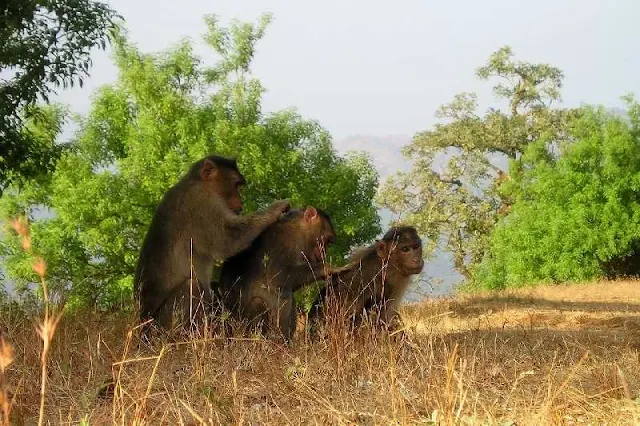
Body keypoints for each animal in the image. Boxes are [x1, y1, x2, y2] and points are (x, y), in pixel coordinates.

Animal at [135, 155, 290, 334]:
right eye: (236, 185)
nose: (241, 201)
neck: (199, 183)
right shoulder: (203, 203)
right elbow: (227, 240)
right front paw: (276, 209)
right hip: (160, 327)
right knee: (193, 286)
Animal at [218, 205, 338, 342]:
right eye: (326, 240)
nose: (323, 252)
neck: (299, 230)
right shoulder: (284, 243)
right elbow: (279, 278)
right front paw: (327, 269)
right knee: (261, 302)